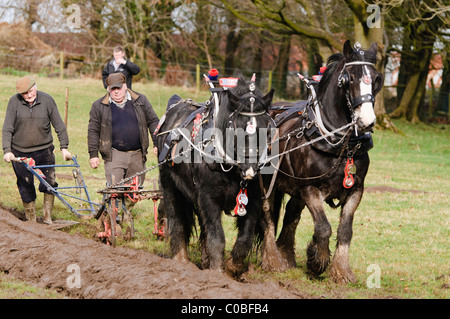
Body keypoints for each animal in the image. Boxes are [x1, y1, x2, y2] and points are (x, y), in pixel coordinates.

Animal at [156, 78, 276, 278]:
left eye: (266, 129)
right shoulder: (208, 198)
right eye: (238, 128)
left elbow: (245, 237)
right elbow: (217, 235)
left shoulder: (252, 200)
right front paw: (218, 271)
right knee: (176, 218)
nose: (251, 168)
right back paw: (181, 260)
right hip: (169, 185)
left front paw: (232, 266)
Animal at [264, 41, 384, 284]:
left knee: (291, 215)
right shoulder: (310, 188)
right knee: (268, 216)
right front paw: (317, 261)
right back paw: (272, 260)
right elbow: (323, 227)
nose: (367, 121)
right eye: (349, 78)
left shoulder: (356, 189)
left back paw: (286, 255)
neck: (341, 145)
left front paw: (342, 270)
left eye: (376, 79)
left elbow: (345, 230)